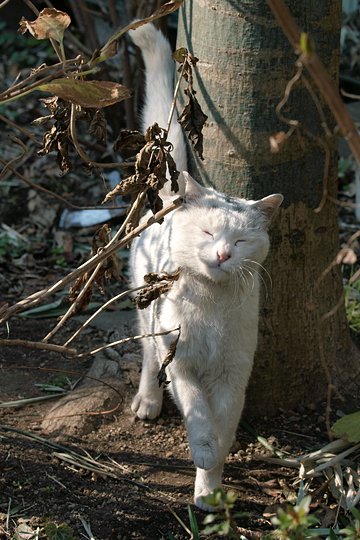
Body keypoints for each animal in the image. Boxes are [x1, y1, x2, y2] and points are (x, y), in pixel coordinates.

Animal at [128, 22, 282, 510]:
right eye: (209, 233)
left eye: (240, 240)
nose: (222, 254)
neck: (213, 306)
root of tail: (172, 191)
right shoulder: (184, 365)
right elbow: (197, 413)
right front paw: (202, 449)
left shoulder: (234, 373)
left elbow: (225, 425)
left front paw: (209, 487)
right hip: (148, 308)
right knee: (147, 356)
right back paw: (147, 401)